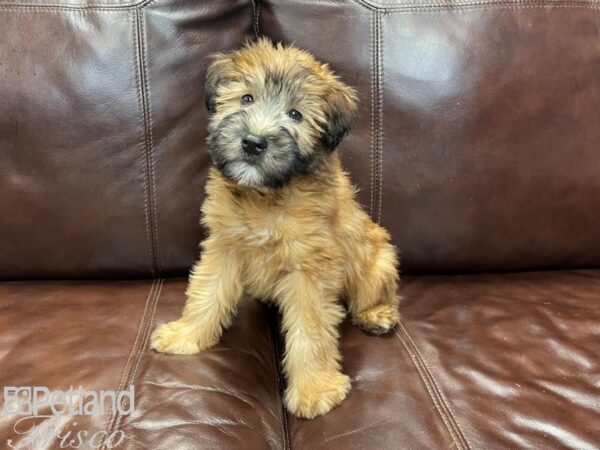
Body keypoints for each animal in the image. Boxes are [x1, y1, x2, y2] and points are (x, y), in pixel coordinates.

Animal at [152, 37, 400, 418]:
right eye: (246, 98)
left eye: (295, 114)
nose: (253, 143)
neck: (266, 196)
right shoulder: (225, 245)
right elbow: (207, 293)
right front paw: (187, 334)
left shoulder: (309, 270)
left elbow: (311, 332)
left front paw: (315, 389)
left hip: (375, 260)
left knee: (376, 292)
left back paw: (378, 314)